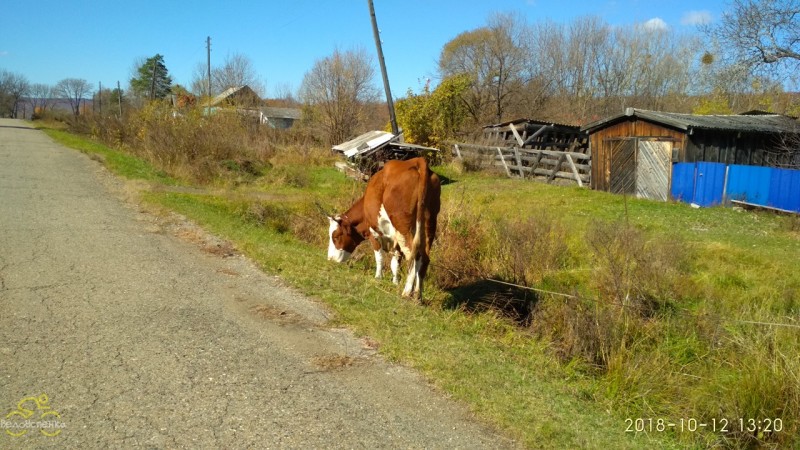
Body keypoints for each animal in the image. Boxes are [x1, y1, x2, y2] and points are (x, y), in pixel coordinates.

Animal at [330, 156, 444, 300]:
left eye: (335, 237)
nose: (330, 259)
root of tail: (417, 161)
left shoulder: (374, 233)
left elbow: (379, 257)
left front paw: (378, 277)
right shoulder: (394, 239)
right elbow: (395, 262)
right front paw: (395, 282)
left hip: (403, 226)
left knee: (413, 255)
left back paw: (407, 292)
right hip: (430, 223)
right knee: (424, 257)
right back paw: (418, 295)